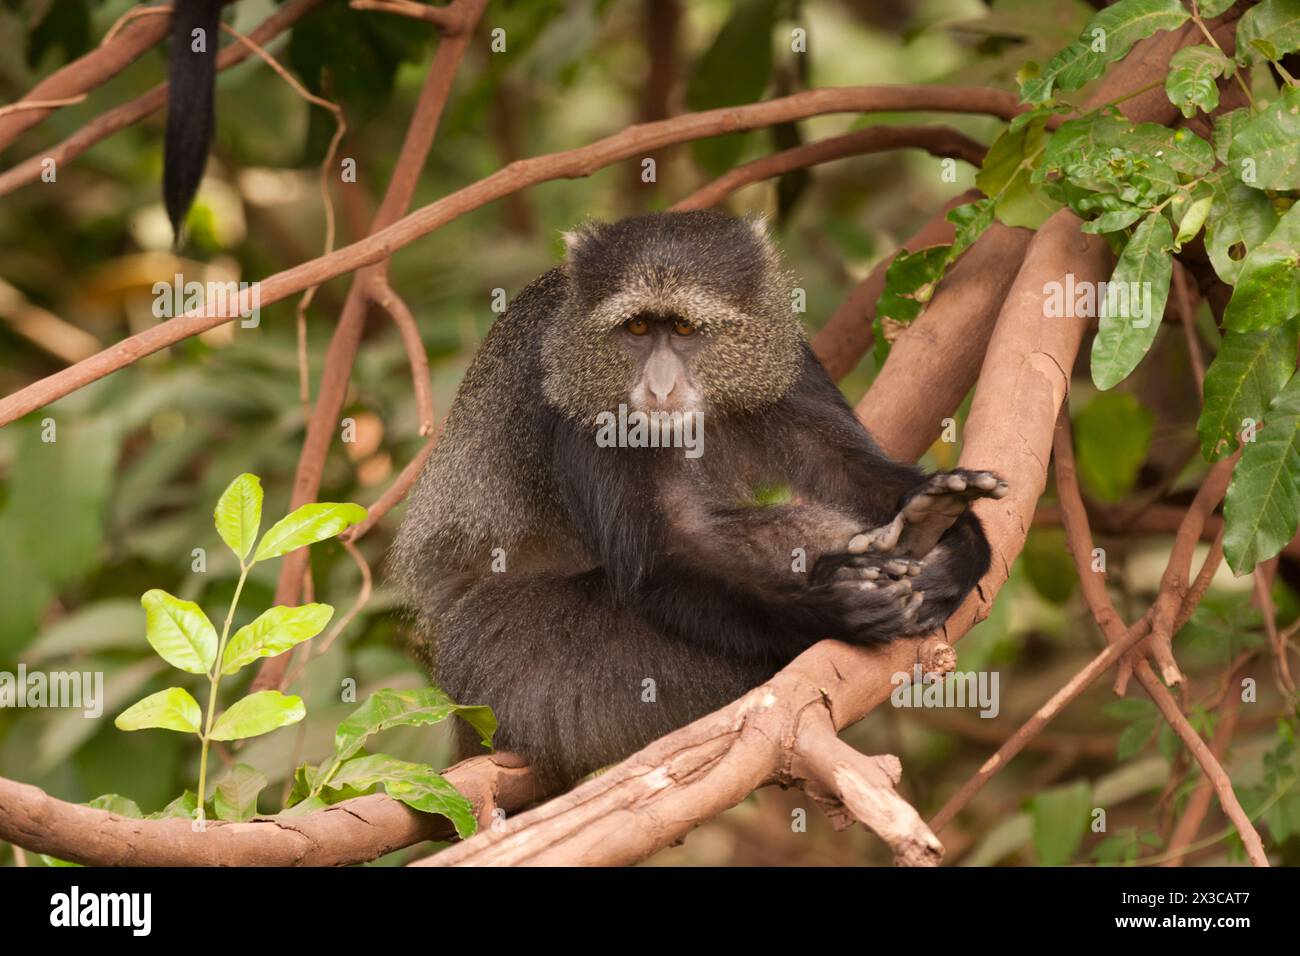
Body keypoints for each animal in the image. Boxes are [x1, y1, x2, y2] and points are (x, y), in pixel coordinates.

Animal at [390, 213, 1008, 790]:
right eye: (638, 327)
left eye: (684, 328)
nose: (660, 388)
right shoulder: (569, 396)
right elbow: (659, 560)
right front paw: (828, 609)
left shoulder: (780, 357)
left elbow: (844, 467)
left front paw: (960, 543)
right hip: (531, 672)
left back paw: (924, 529)